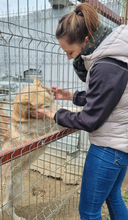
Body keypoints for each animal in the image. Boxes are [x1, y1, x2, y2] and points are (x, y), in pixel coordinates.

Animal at [0, 78, 61, 220]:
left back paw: (17, 218)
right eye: (44, 107)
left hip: (18, 192)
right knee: (4, 208)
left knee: (9, 207)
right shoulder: (47, 126)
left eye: (51, 100)